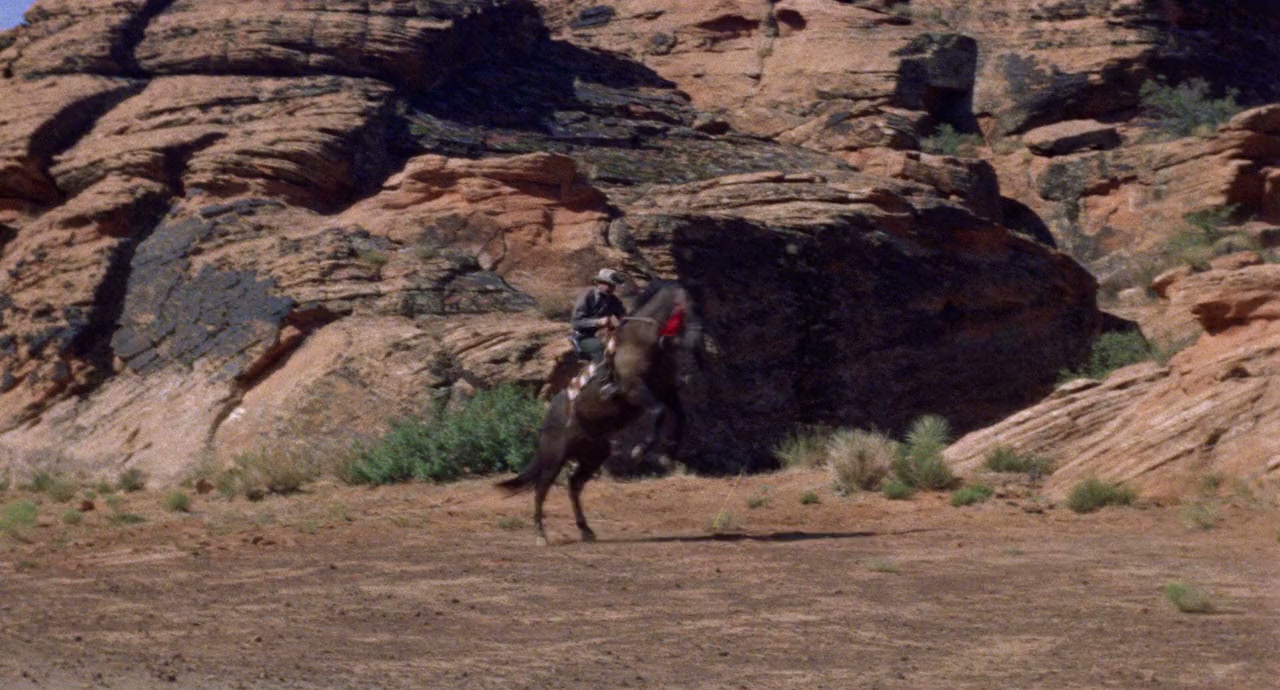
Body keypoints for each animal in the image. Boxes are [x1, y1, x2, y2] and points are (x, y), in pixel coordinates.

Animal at [496, 280, 700, 546]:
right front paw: (639, 450)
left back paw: (586, 530)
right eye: (683, 307)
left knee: (574, 485)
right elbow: (657, 413)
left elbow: (679, 417)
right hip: (555, 457)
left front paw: (670, 451)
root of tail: (548, 420)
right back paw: (541, 533)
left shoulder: (666, 392)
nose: (697, 338)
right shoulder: (634, 390)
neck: (641, 342)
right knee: (542, 487)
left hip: (592, 456)